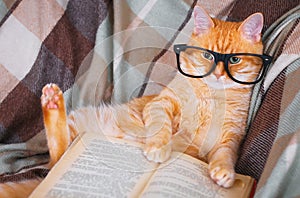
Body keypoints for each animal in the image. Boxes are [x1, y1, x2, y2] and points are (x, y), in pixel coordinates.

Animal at [0, 5, 270, 198]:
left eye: (234, 59)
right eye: (207, 56)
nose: (218, 74)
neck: (211, 97)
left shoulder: (230, 137)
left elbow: (225, 155)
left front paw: (224, 173)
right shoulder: (161, 104)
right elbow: (162, 126)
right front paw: (159, 146)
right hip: (74, 129)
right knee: (56, 153)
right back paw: (52, 101)